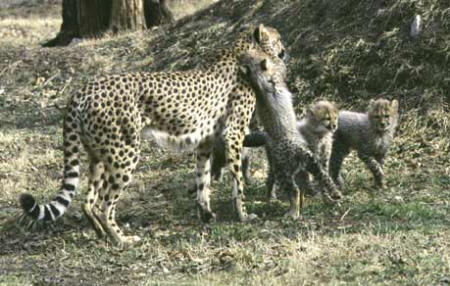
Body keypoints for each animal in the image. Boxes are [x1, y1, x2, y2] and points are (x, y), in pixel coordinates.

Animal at [20, 24, 284, 247]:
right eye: (278, 38)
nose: (284, 50)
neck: (242, 50)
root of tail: (83, 89)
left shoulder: (205, 141)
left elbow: (203, 180)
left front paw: (206, 214)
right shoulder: (234, 135)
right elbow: (238, 182)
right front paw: (244, 215)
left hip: (98, 155)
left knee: (88, 201)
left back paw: (101, 233)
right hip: (124, 154)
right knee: (105, 204)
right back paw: (121, 239)